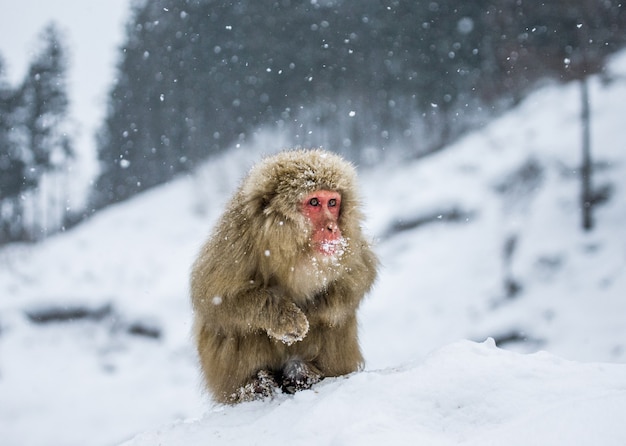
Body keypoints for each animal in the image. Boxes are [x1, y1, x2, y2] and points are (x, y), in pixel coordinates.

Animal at [189, 150, 376, 404]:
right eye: (314, 202)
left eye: (332, 202)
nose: (332, 227)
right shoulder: (237, 236)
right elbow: (211, 296)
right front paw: (285, 318)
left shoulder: (349, 240)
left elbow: (361, 271)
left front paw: (315, 307)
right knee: (235, 327)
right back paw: (255, 385)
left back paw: (303, 374)